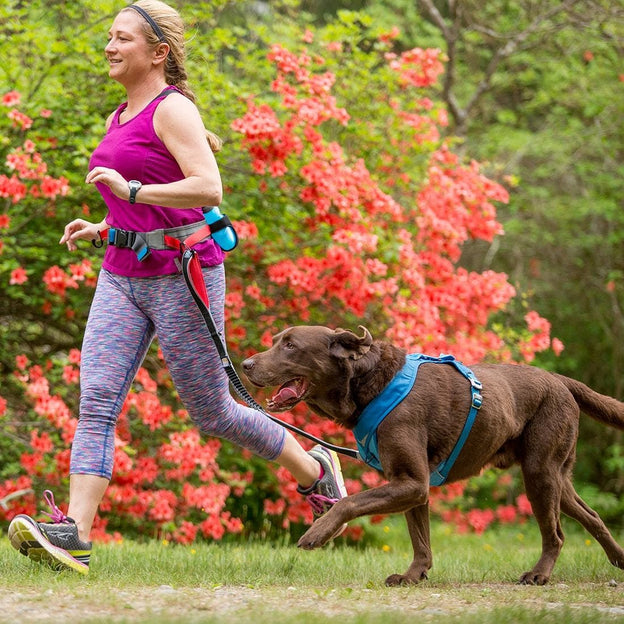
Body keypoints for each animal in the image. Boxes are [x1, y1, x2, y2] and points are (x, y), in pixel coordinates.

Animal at [241, 326, 624, 584]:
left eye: (291, 345)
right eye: (276, 341)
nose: (244, 364)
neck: (369, 382)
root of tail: (561, 380)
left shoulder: (411, 482)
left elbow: (350, 502)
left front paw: (318, 533)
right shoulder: (410, 484)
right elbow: (420, 539)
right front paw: (413, 575)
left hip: (539, 472)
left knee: (555, 534)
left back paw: (538, 574)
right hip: (556, 477)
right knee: (591, 516)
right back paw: (619, 559)